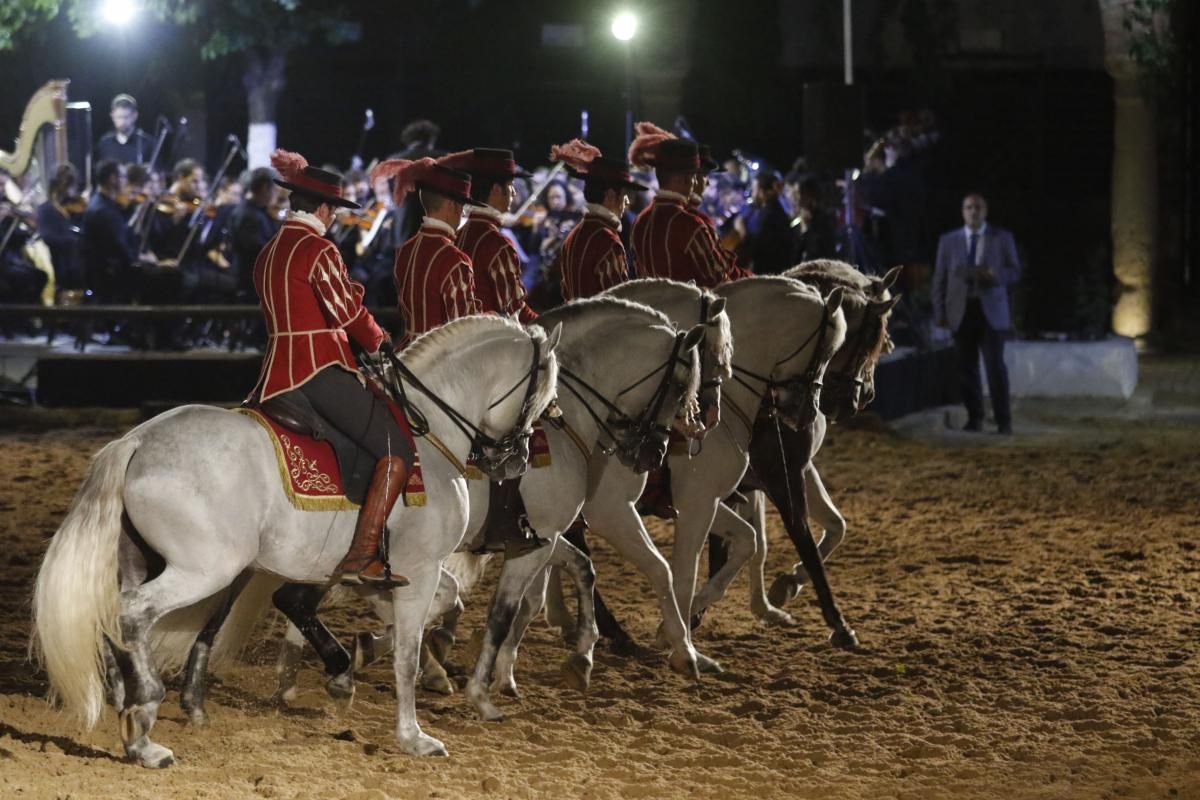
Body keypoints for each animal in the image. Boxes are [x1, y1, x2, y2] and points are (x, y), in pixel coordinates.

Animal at [31, 311, 556, 762]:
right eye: (543, 394)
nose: (515, 460)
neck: (431, 431)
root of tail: (137, 440)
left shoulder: (368, 572)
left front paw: (351, 667)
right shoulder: (420, 569)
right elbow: (406, 653)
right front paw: (413, 736)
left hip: (143, 560)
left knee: (114, 616)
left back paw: (128, 703)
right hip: (203, 570)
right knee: (132, 615)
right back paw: (143, 725)